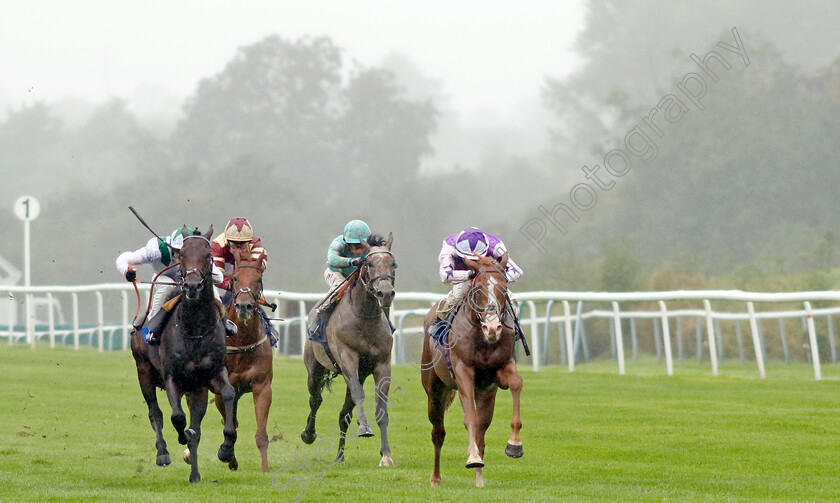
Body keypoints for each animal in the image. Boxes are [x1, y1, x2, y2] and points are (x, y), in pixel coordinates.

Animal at [130, 225, 238, 484]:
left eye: (208, 255)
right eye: (183, 255)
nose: (191, 286)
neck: (195, 329)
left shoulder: (212, 374)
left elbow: (228, 394)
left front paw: (226, 448)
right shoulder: (172, 377)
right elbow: (177, 417)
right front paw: (181, 436)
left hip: (196, 389)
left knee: (194, 425)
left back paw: (195, 475)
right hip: (143, 370)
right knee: (155, 413)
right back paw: (163, 453)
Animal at [215, 250, 274, 474]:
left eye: (258, 279)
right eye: (235, 278)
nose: (244, 306)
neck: (241, 342)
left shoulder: (262, 387)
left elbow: (261, 434)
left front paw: (265, 469)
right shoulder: (222, 390)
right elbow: (230, 425)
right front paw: (226, 453)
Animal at [300, 234, 396, 466]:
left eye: (393, 263)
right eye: (369, 264)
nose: (385, 293)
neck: (364, 317)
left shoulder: (382, 364)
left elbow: (381, 408)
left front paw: (386, 455)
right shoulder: (348, 359)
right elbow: (360, 395)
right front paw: (365, 428)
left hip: (358, 374)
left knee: (344, 413)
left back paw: (339, 455)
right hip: (315, 370)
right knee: (315, 399)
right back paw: (309, 434)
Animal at [420, 254, 524, 486]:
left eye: (504, 287)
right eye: (478, 289)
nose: (492, 328)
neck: (483, 340)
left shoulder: (500, 370)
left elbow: (516, 383)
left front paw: (514, 444)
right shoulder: (463, 372)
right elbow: (469, 419)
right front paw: (473, 457)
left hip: (485, 394)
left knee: (482, 429)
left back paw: (479, 480)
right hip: (434, 390)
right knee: (438, 432)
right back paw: (435, 478)